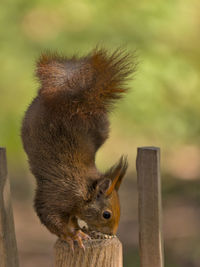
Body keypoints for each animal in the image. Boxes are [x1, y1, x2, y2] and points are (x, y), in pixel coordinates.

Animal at [20, 47, 134, 250]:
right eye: (106, 214)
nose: (111, 234)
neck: (85, 189)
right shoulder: (58, 195)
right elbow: (51, 218)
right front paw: (73, 236)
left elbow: (72, 219)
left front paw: (79, 230)